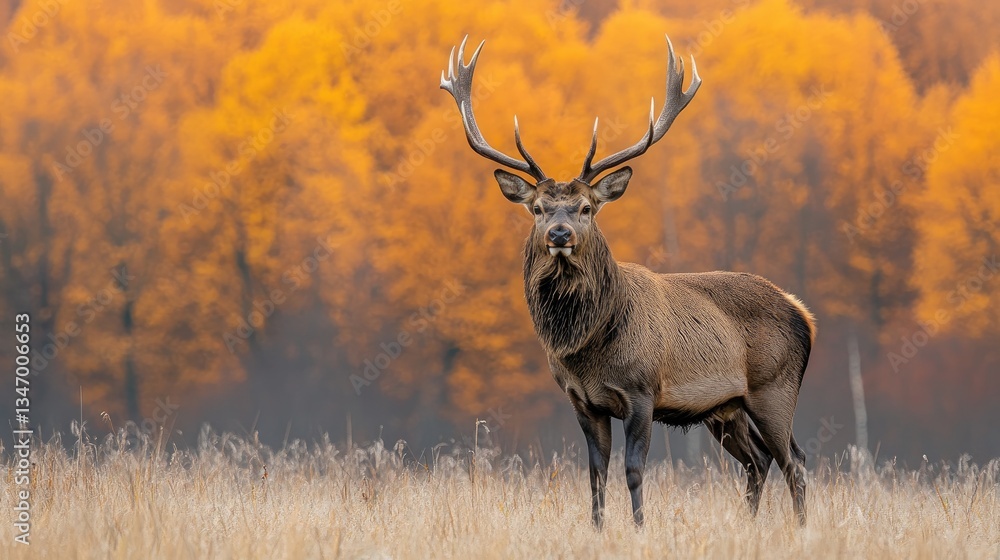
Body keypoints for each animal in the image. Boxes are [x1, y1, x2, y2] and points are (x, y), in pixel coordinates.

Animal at [440, 35, 815, 528]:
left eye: (586, 208)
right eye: (538, 208)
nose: (559, 235)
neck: (589, 348)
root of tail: (802, 312)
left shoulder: (642, 392)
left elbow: (633, 470)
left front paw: (639, 528)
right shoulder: (582, 401)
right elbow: (596, 474)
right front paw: (598, 528)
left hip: (775, 387)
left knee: (795, 461)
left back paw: (801, 527)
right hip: (724, 407)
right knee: (759, 459)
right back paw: (749, 524)